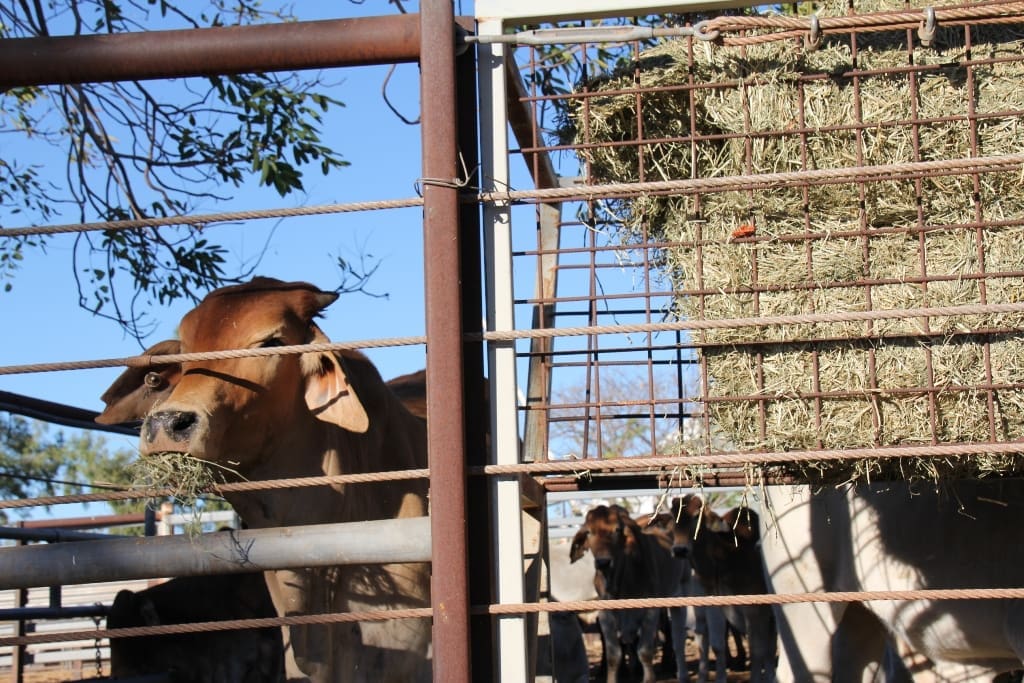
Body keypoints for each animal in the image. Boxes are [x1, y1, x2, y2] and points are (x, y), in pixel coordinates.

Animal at [573, 501, 684, 683]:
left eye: (617, 530)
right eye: (588, 531)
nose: (603, 562)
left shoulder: (651, 610)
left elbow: (645, 650)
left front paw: (648, 678)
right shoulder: (606, 614)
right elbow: (614, 654)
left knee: (672, 631)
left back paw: (672, 665)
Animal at [671, 493, 774, 679]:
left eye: (696, 515)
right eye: (672, 515)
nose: (679, 550)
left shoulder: (757, 612)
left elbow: (757, 651)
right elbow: (717, 644)